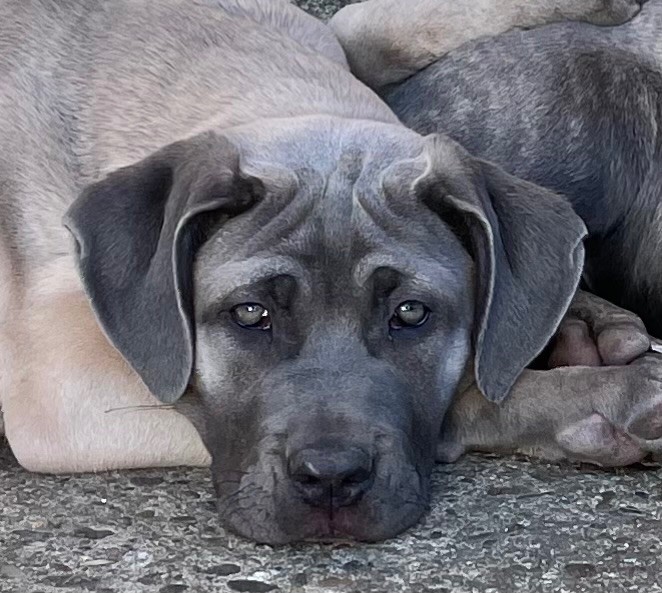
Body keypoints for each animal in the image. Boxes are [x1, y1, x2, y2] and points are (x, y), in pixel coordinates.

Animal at [1, 0, 660, 544]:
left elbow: (369, 21)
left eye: (410, 312)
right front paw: (591, 400)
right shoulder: (59, 391)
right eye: (250, 313)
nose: (332, 481)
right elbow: (465, 398)